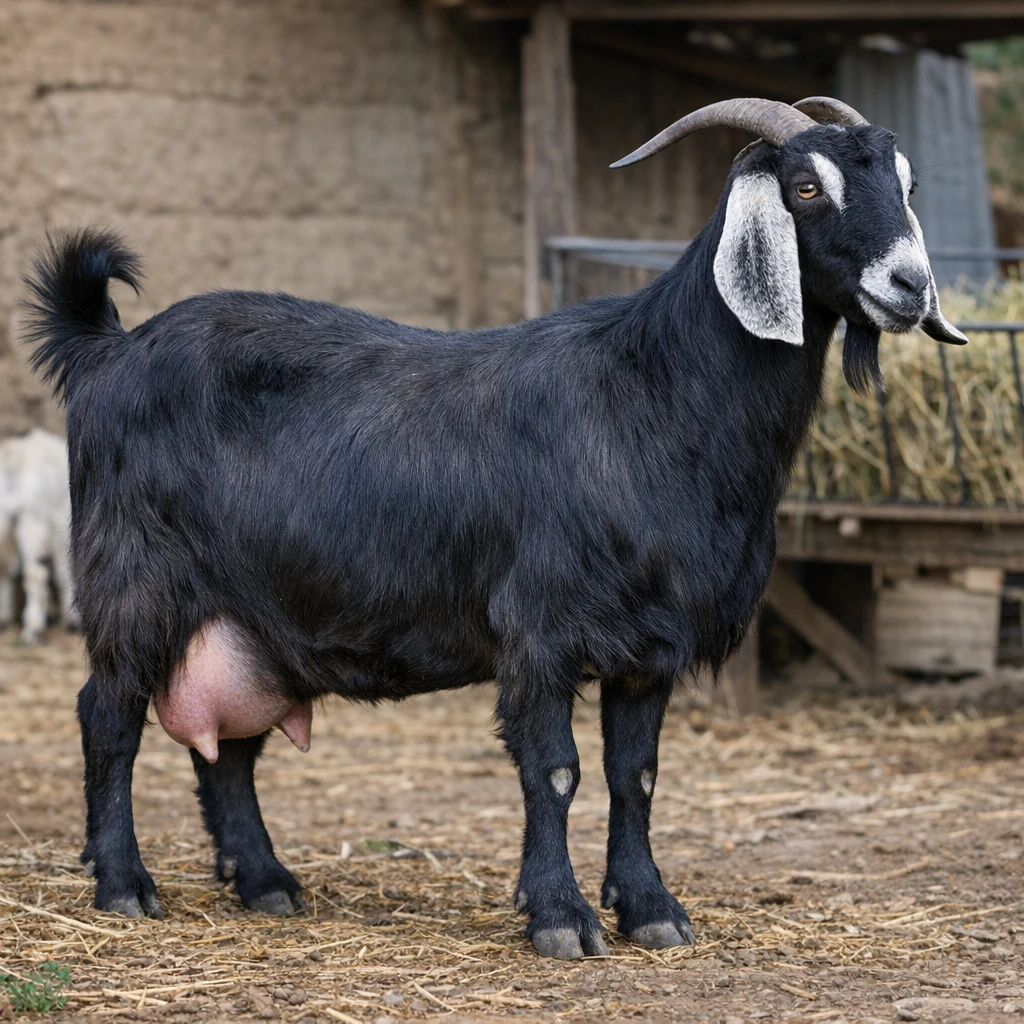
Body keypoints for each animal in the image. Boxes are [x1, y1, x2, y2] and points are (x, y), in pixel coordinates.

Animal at [25, 96, 965, 959]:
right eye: (807, 187)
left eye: (908, 184)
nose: (909, 286)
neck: (654, 392)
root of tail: (106, 351)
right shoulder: (541, 626)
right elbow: (555, 770)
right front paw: (560, 918)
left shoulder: (650, 645)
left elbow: (637, 774)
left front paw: (652, 910)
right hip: (135, 581)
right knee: (107, 716)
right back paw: (125, 885)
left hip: (245, 617)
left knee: (228, 748)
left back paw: (264, 882)